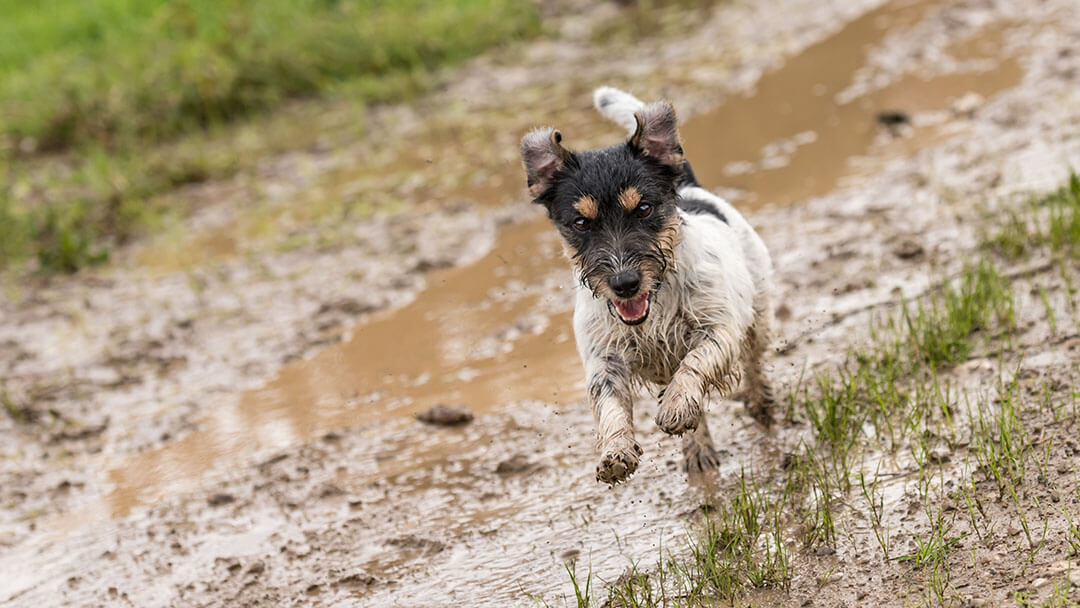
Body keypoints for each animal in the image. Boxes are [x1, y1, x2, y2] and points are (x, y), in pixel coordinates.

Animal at [516, 86, 777, 485]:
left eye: (643, 209)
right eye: (580, 223)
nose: (624, 283)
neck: (654, 305)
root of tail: (688, 185)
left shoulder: (718, 330)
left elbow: (694, 364)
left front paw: (678, 405)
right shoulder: (604, 359)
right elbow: (609, 405)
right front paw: (615, 451)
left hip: (757, 314)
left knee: (754, 361)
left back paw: (759, 404)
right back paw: (698, 451)